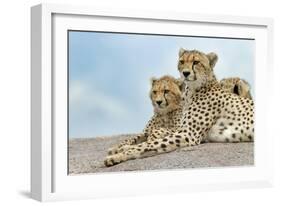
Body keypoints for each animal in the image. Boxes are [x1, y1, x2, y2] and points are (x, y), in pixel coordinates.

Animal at [104, 48, 253, 166]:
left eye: (196, 62)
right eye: (181, 61)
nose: (185, 73)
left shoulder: (188, 134)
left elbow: (149, 143)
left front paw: (118, 155)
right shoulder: (183, 131)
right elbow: (144, 140)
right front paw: (120, 148)